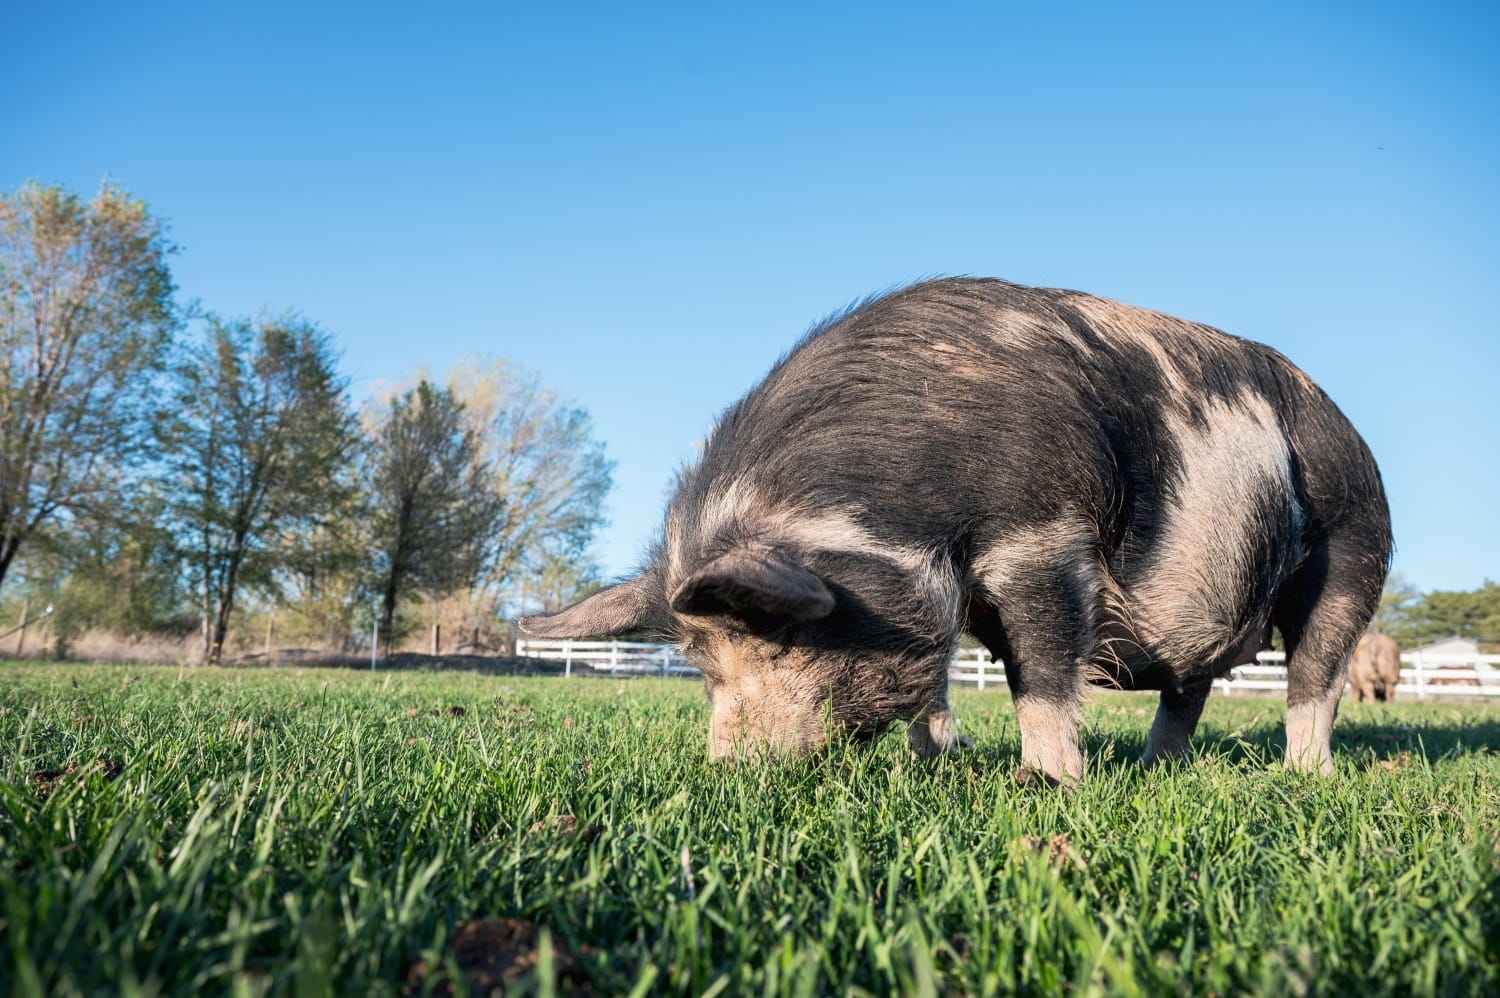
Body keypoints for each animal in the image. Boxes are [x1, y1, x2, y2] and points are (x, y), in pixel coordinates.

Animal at [520, 278, 1392, 780]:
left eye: (777, 637)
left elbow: (1041, 670)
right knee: (1190, 689)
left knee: (1316, 674)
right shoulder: (945, 589)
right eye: (701, 663)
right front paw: (944, 757)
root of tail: (1354, 434)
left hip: (1355, 545)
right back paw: (1155, 768)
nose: (728, 772)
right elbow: (936, 674)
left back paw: (1304, 777)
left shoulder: (1044, 533)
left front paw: (1048, 783)